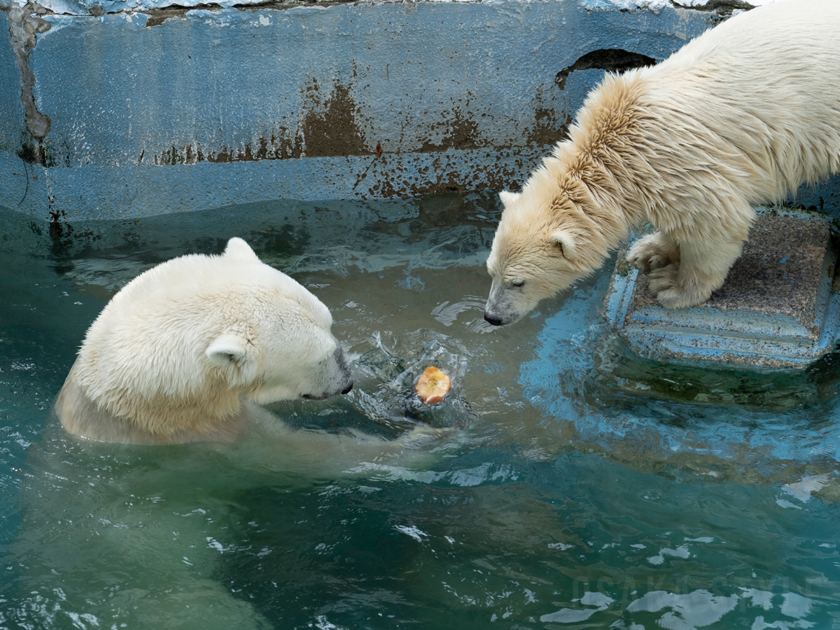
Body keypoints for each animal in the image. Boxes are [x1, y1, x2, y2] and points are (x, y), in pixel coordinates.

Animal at [482, 0, 840, 326]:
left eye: (518, 282)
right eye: (490, 271)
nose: (491, 317)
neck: (616, 148)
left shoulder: (676, 160)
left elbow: (716, 224)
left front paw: (674, 288)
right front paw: (651, 252)